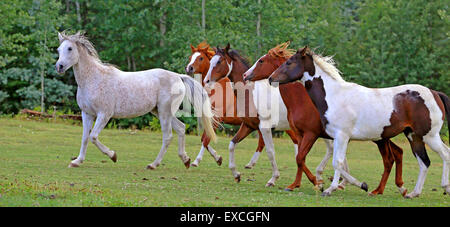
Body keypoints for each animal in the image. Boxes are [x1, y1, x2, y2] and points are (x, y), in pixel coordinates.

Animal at [55, 31, 217, 170]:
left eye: (70, 48)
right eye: (58, 49)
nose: (59, 67)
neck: (93, 79)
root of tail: (178, 77)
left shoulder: (104, 114)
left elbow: (93, 137)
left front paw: (113, 156)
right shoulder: (87, 114)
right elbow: (85, 138)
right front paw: (77, 162)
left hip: (164, 113)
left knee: (168, 136)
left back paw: (153, 164)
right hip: (161, 112)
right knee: (181, 128)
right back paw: (186, 160)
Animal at [244, 41, 406, 194]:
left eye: (261, 61)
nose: (245, 75)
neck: (301, 101)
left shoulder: (312, 134)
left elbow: (302, 157)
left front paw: (319, 182)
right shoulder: (302, 134)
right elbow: (300, 158)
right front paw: (295, 184)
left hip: (380, 138)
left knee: (389, 159)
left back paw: (380, 189)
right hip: (381, 137)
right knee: (397, 153)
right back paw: (395, 188)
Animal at [268, 46, 448, 197]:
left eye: (289, 62)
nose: (271, 78)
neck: (334, 96)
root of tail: (435, 93)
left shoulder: (340, 136)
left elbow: (337, 162)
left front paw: (329, 189)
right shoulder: (336, 138)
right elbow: (337, 162)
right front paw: (355, 185)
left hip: (429, 136)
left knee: (444, 154)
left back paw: (444, 187)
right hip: (413, 137)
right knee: (424, 162)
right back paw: (412, 193)